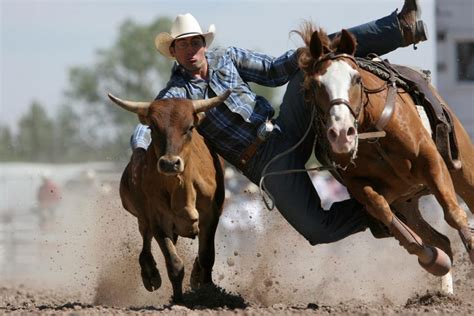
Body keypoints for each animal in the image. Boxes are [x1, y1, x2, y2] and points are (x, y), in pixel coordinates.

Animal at [296, 24, 474, 276]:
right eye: (315, 84)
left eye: (356, 78)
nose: (342, 133)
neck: (373, 133)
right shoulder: (359, 185)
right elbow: (381, 208)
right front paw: (430, 257)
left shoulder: (431, 161)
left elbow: (453, 214)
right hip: (407, 202)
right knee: (441, 240)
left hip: (464, 172)